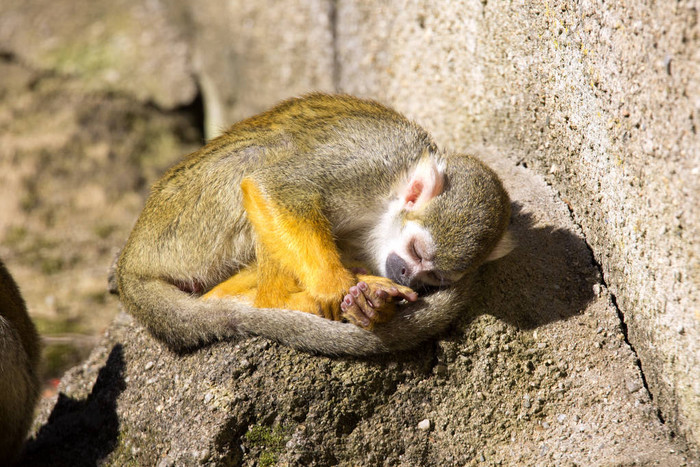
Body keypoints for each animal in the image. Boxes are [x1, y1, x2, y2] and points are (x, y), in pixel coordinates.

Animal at [113, 93, 508, 356]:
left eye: (435, 276)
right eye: (416, 251)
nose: (407, 276)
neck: (386, 202)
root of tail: (130, 263)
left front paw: (374, 306)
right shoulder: (370, 167)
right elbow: (275, 186)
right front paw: (336, 288)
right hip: (185, 228)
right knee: (261, 156)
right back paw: (281, 301)